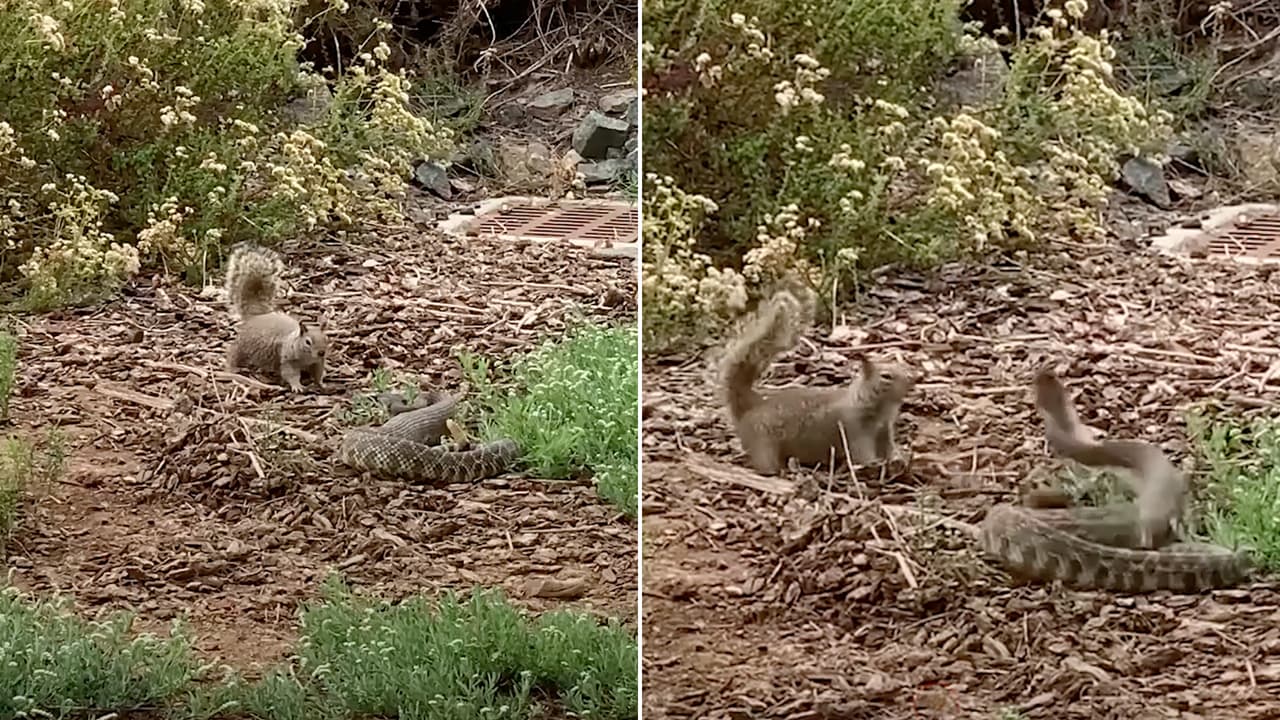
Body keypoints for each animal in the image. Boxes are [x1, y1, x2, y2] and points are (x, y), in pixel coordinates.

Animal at [224, 243, 329, 392]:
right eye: (308, 342)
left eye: (326, 339)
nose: (321, 352)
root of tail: (257, 316)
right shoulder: (287, 359)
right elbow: (290, 374)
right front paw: (297, 386)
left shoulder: (318, 362)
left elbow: (318, 373)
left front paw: (321, 383)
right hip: (243, 345)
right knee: (234, 353)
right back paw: (232, 368)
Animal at [720, 288, 917, 475]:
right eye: (886, 376)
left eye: (903, 366)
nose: (913, 378)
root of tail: (751, 404)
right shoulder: (854, 430)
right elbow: (861, 454)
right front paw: (873, 464)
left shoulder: (884, 432)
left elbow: (889, 448)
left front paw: (898, 460)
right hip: (762, 441)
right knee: (764, 462)